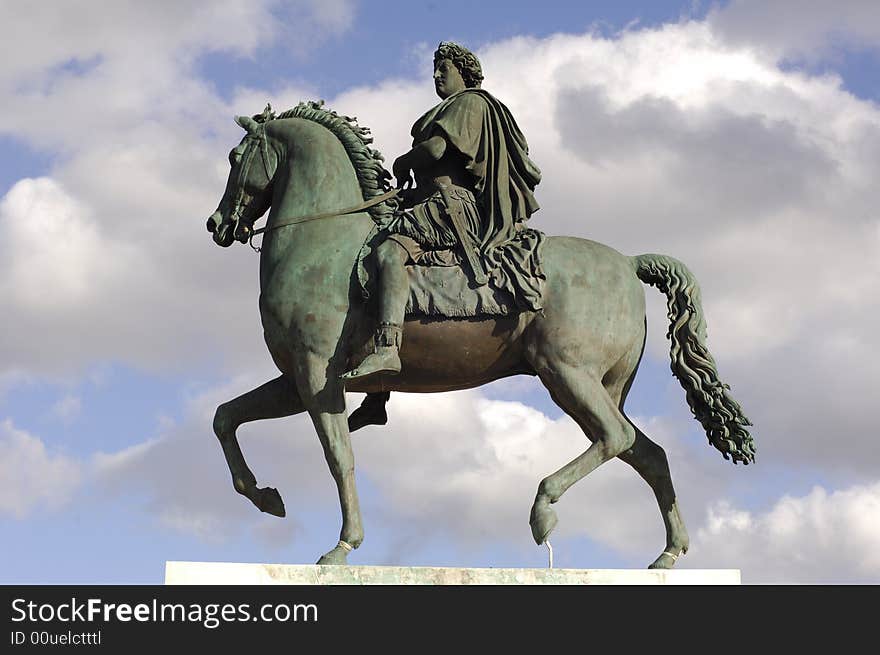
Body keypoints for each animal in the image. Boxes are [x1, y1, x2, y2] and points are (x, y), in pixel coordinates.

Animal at [203, 101, 752, 568]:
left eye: (234, 157)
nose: (217, 224)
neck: (323, 240)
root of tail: (629, 261)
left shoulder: (317, 374)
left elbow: (339, 458)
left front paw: (342, 547)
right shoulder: (298, 378)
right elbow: (225, 417)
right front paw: (265, 497)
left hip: (567, 374)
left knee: (617, 437)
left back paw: (543, 508)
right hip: (604, 385)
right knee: (646, 452)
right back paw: (668, 554)